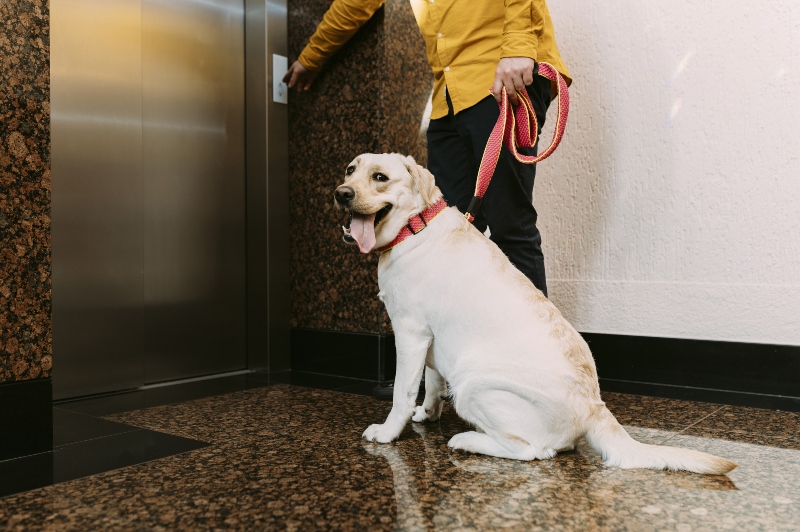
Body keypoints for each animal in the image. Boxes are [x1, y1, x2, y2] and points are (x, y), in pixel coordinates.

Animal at [332, 153, 736, 474]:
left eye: (380, 177)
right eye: (350, 169)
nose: (341, 193)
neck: (415, 227)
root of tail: (594, 406)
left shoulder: (410, 334)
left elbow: (402, 394)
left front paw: (387, 433)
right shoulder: (429, 339)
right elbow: (430, 385)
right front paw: (427, 415)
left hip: (473, 384)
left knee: (533, 452)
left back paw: (468, 440)